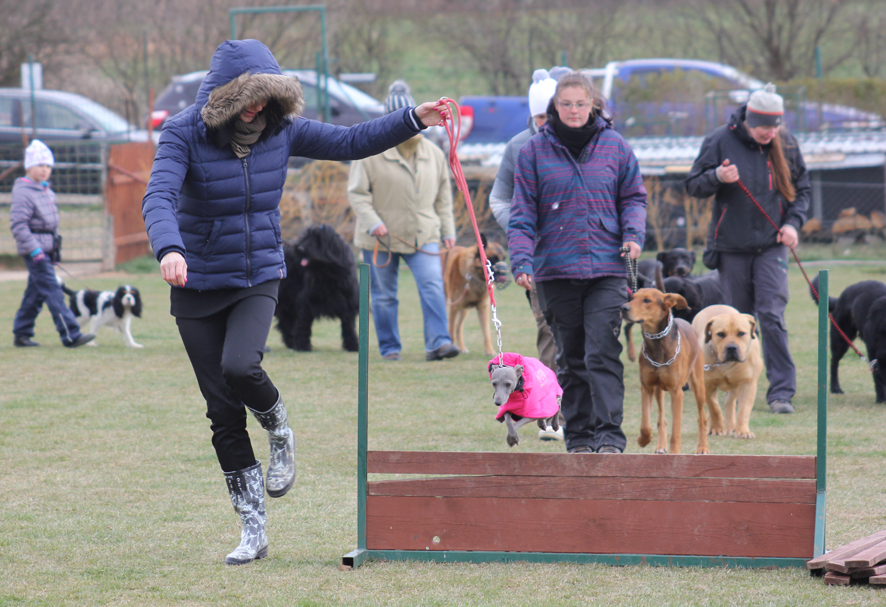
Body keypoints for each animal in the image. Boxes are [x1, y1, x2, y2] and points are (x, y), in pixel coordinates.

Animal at [278, 226, 360, 354]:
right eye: (306, 236)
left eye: (318, 239)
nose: (300, 248)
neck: (327, 275)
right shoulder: (306, 301)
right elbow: (303, 323)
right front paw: (302, 345)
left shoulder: (348, 302)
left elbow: (349, 325)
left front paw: (353, 345)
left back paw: (290, 342)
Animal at [620, 288, 720, 454]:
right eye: (632, 297)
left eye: (647, 300)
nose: (623, 308)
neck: (657, 343)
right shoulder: (647, 387)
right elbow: (645, 424)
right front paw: (643, 439)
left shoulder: (676, 391)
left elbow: (676, 428)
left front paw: (675, 452)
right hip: (658, 389)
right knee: (662, 418)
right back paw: (660, 445)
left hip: (698, 384)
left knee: (702, 418)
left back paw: (703, 447)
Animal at [692, 306, 768, 440]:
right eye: (720, 334)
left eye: (741, 333)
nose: (731, 348)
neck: (725, 364)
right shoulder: (707, 384)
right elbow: (714, 407)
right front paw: (716, 428)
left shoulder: (748, 383)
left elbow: (743, 409)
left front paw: (743, 431)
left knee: (730, 402)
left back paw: (731, 426)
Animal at [812, 276, 886, 404]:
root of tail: (840, 298)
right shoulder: (873, 350)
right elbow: (878, 377)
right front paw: (881, 399)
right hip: (841, 340)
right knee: (834, 362)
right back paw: (835, 388)